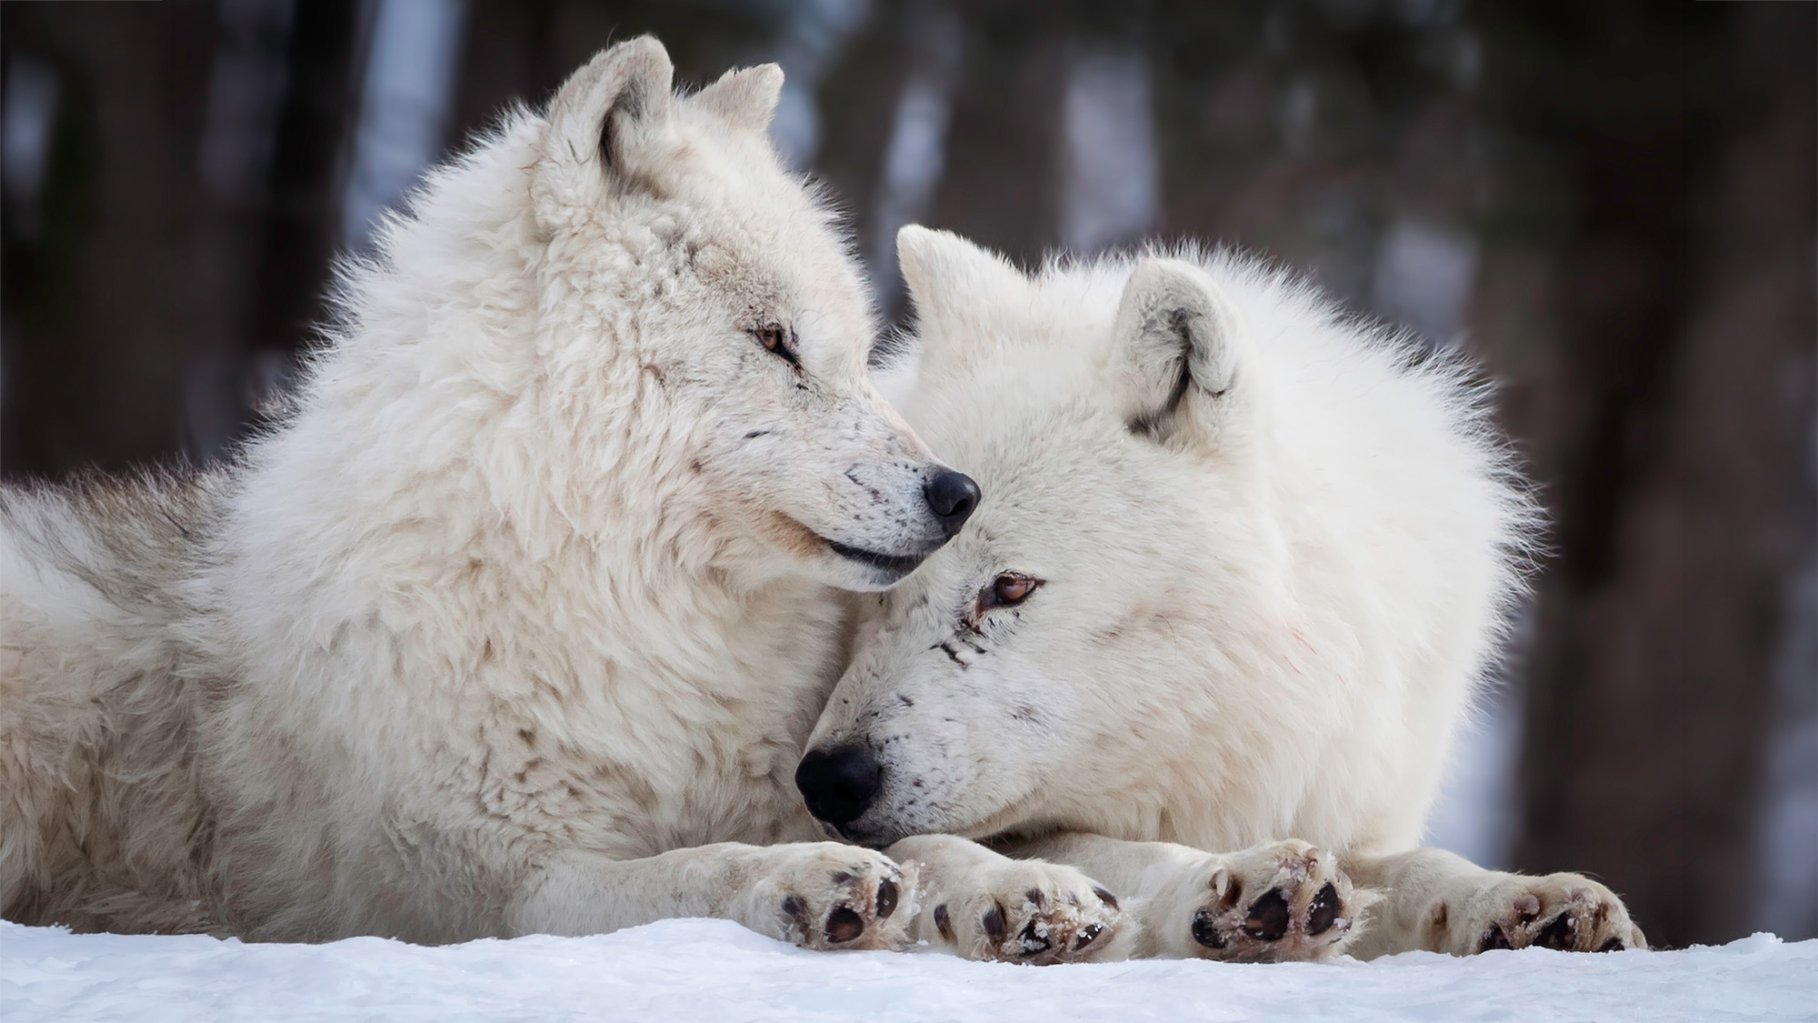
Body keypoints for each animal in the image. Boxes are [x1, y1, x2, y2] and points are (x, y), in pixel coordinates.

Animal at [0, 39, 1022, 950]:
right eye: (775, 341)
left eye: (855, 351)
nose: (957, 492)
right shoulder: (499, 888)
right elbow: (692, 869)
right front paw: (801, 882)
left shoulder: (787, 783)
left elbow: (930, 839)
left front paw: (1017, 887)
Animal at [798, 226, 1646, 962]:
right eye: (879, 589)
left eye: (1009, 586)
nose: (828, 779)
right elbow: (1119, 852)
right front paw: (1237, 886)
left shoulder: (1344, 800)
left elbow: (1417, 867)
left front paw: (1524, 902)